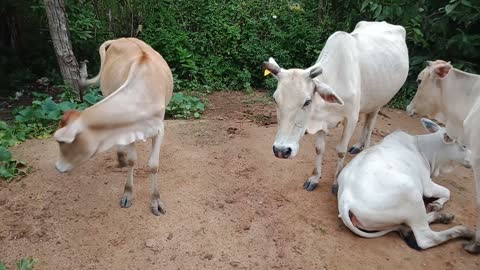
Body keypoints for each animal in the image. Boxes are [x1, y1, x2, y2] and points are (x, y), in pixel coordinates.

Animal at [264, 21, 406, 194]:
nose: (281, 150)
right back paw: (358, 146)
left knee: (370, 124)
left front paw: (336, 183)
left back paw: (365, 148)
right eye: (275, 99)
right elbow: (319, 148)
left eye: (307, 102)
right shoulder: (321, 121)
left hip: (379, 101)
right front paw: (314, 178)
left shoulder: (351, 118)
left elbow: (341, 151)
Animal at [338, 119, 472, 250]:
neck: (422, 149)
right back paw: (464, 231)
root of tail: (346, 199)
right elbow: (447, 191)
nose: (473, 161)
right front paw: (437, 204)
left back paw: (444, 217)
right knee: (426, 238)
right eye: (464, 145)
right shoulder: (427, 186)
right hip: (413, 196)